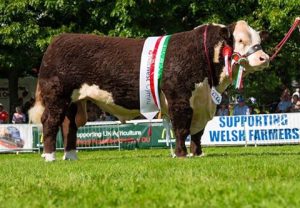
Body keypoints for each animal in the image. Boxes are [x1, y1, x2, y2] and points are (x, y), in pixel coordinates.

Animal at [29, 20, 270, 161]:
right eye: (240, 40)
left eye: (259, 40)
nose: (264, 58)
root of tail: (58, 39)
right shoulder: (179, 98)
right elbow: (182, 128)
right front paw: (182, 155)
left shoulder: (203, 103)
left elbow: (198, 133)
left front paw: (198, 153)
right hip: (56, 95)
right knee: (50, 121)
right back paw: (49, 156)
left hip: (73, 100)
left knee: (69, 126)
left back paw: (70, 156)